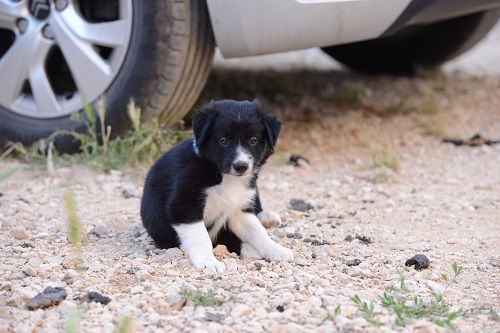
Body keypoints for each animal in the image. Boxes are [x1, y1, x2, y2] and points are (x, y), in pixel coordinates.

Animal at [140, 98, 292, 270]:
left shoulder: (239, 209)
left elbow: (258, 231)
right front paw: (208, 261)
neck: (223, 176)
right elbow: (200, 236)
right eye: (223, 141)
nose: (241, 166)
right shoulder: (184, 204)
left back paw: (266, 218)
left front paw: (276, 249)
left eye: (253, 140)